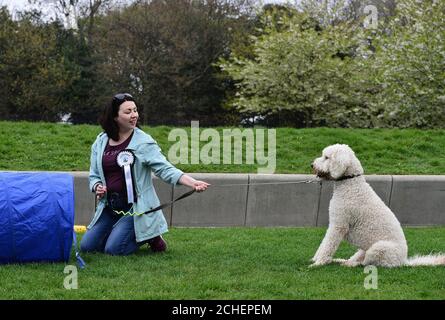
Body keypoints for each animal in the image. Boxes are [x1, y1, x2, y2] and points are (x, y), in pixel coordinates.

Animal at [310, 143, 442, 268]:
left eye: (326, 157)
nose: (312, 165)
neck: (351, 183)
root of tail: (403, 261)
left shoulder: (338, 225)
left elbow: (328, 245)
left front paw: (318, 262)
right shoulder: (336, 223)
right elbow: (324, 244)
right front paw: (316, 259)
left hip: (379, 248)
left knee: (366, 263)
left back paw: (349, 264)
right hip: (363, 250)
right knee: (359, 259)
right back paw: (341, 260)